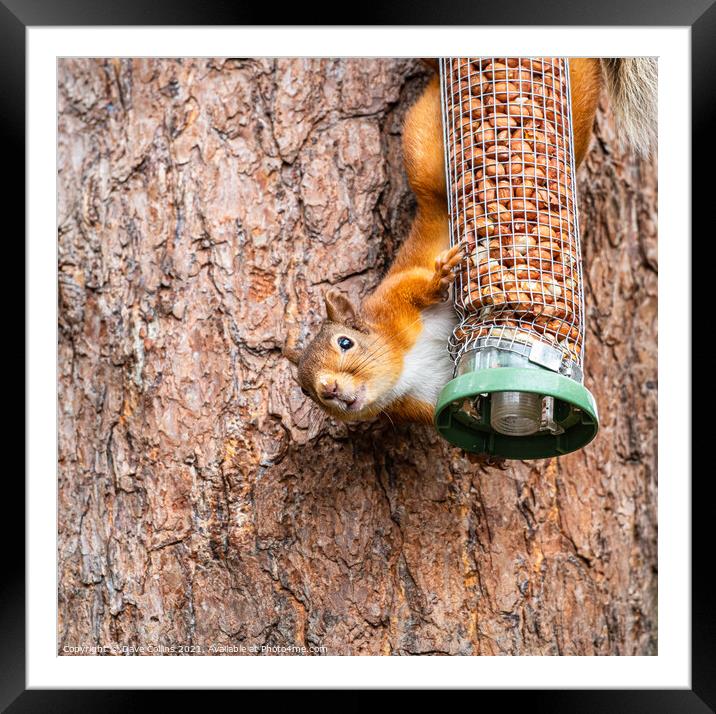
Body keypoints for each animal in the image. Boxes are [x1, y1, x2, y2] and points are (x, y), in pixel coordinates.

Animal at [288, 59, 656, 422]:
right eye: (304, 390)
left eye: (345, 343)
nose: (328, 389)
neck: (405, 368)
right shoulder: (426, 400)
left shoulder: (392, 299)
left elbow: (417, 286)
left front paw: (440, 276)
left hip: (429, 157)